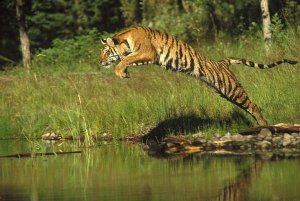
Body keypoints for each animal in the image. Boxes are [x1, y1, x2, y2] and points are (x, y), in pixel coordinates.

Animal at [99, 25, 298, 125]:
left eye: (106, 52)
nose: (99, 61)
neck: (125, 39)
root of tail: (222, 62)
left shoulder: (148, 52)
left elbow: (125, 59)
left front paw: (120, 71)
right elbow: (128, 60)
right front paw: (125, 73)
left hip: (232, 89)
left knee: (254, 106)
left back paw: (265, 126)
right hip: (226, 93)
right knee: (249, 107)